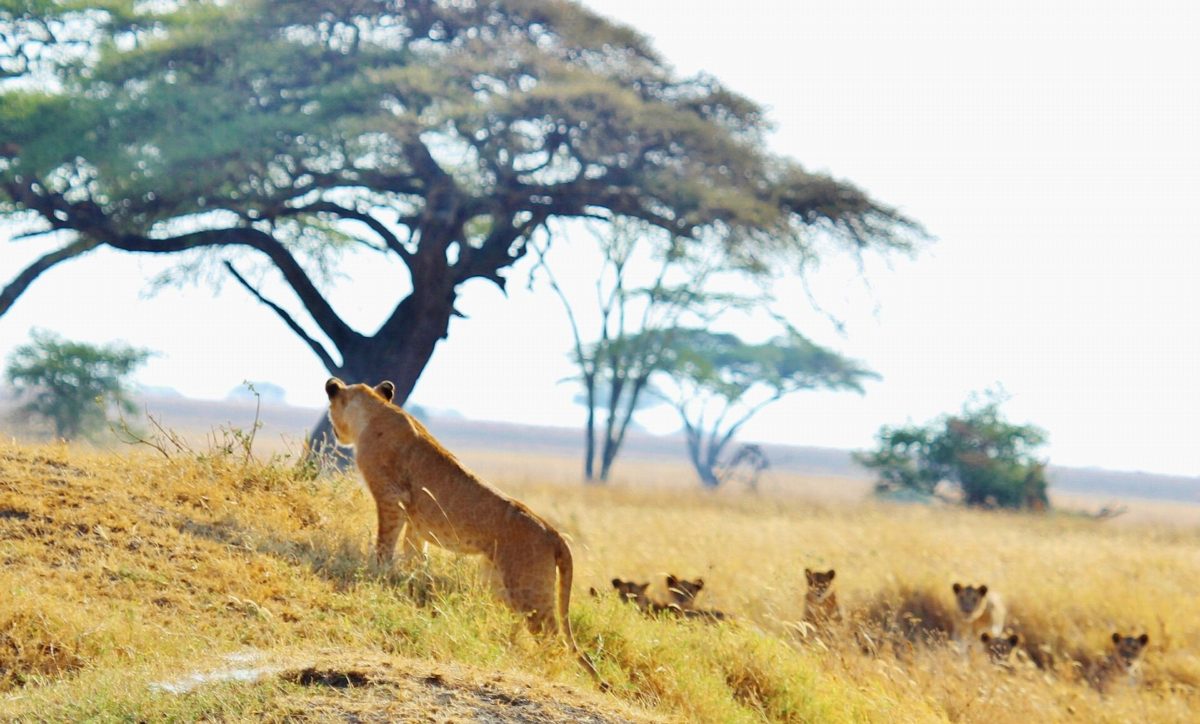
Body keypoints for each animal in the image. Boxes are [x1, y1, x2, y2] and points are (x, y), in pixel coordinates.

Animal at [324, 377, 603, 686]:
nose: (334, 433)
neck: (375, 409)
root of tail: (553, 532)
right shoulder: (415, 521)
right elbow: (415, 557)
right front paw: (410, 583)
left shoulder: (390, 498)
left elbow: (384, 543)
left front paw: (378, 573)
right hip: (499, 584)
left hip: (529, 589)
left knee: (554, 640)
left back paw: (547, 671)